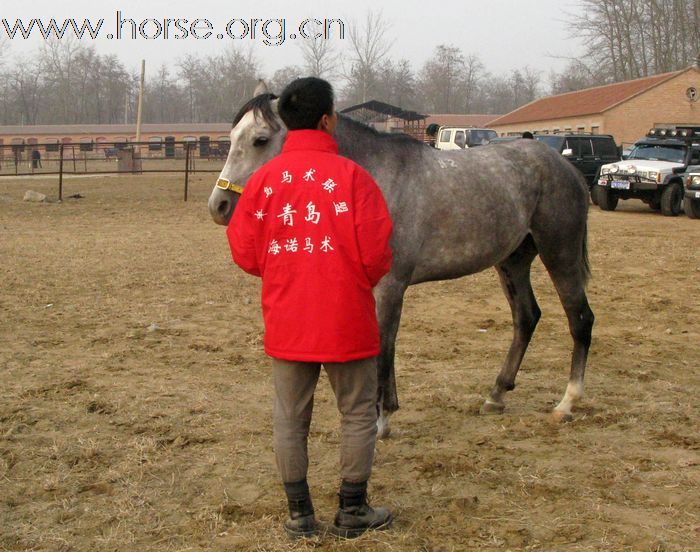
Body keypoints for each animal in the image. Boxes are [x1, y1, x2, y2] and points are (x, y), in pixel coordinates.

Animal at [209, 85, 596, 436]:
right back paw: (496, 395)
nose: (219, 206)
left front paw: (381, 421)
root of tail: (566, 167)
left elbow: (385, 345)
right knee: (526, 318)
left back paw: (566, 404)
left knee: (580, 319)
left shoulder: (391, 285)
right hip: (513, 261)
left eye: (260, 139)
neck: (376, 180)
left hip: (559, 252)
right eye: (231, 136)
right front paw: (385, 411)